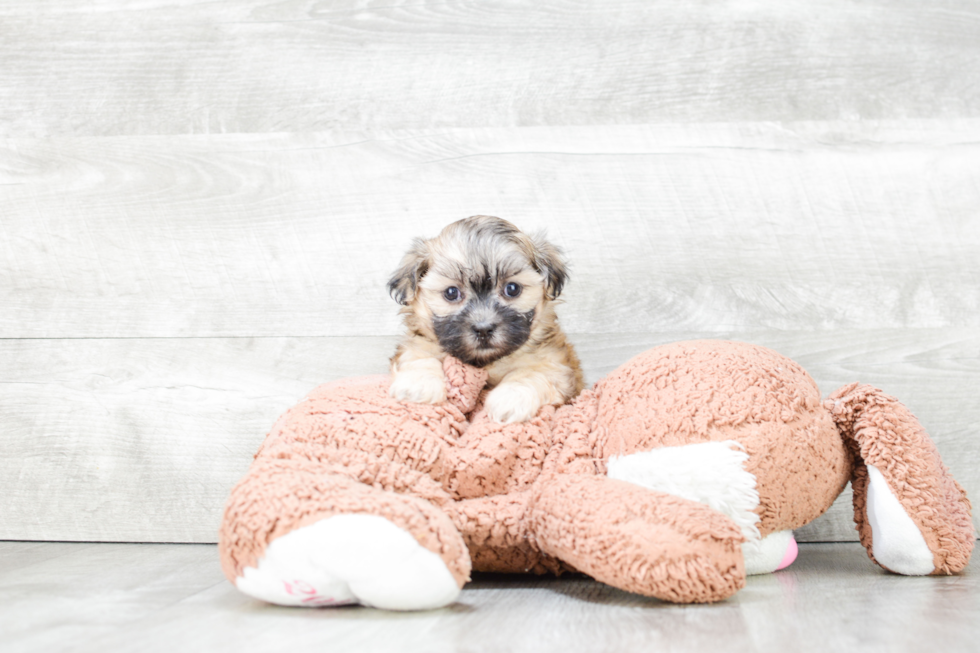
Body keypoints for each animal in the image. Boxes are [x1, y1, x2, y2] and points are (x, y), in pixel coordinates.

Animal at [384, 216, 584, 426]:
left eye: (512, 289)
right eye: (451, 292)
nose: (483, 329)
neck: (485, 362)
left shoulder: (556, 366)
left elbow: (530, 373)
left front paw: (510, 398)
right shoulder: (417, 342)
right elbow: (419, 355)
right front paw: (418, 384)